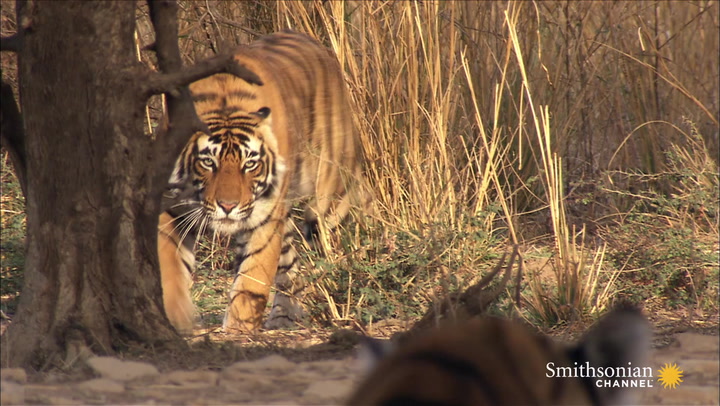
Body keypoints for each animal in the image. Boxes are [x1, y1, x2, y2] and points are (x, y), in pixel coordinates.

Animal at [158, 29, 366, 334]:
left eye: (250, 164)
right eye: (208, 162)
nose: (228, 206)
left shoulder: (265, 219)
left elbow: (252, 278)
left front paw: (238, 329)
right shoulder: (172, 206)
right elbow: (169, 270)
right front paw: (175, 318)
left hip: (327, 191)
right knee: (290, 265)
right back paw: (285, 317)